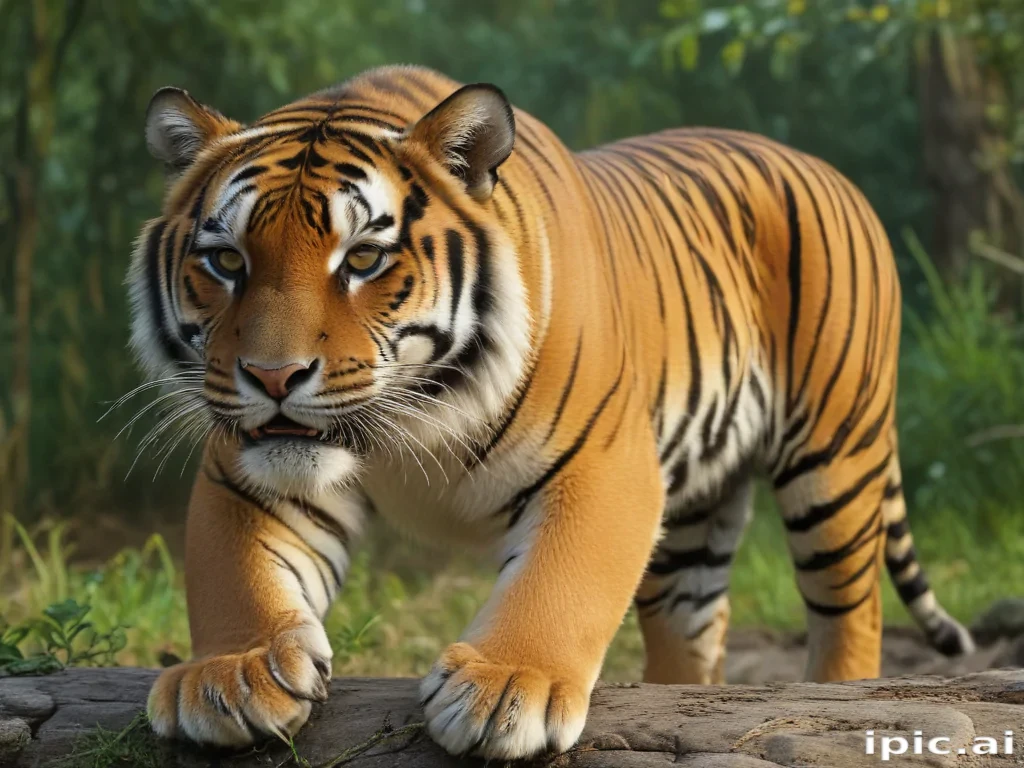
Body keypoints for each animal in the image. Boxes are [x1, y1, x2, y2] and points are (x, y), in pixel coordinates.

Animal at [131, 64, 973, 760]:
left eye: (363, 259)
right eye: (227, 261)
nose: (272, 376)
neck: (419, 413)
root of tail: (826, 168)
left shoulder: (605, 462)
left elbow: (560, 578)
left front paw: (509, 689)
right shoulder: (246, 466)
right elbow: (233, 571)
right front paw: (232, 673)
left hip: (835, 457)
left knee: (850, 612)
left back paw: (841, 696)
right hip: (695, 515)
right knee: (695, 626)